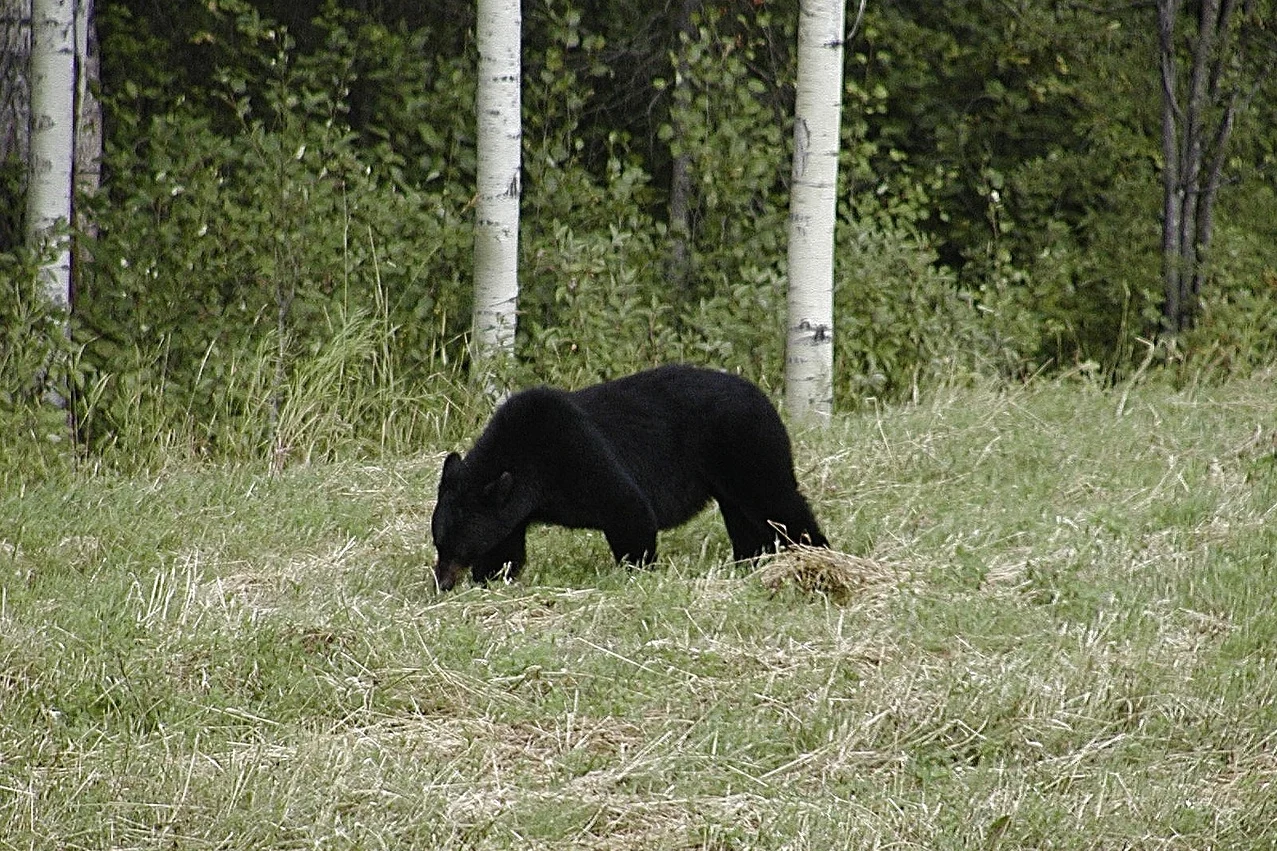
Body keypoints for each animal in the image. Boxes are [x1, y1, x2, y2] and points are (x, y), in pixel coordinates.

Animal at [429, 365, 827, 590]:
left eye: (459, 547)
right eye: (439, 543)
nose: (442, 583)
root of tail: (765, 399)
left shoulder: (578, 453)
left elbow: (629, 508)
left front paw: (637, 569)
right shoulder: (511, 507)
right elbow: (505, 545)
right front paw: (493, 576)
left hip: (744, 444)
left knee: (777, 501)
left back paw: (815, 555)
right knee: (744, 515)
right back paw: (751, 560)